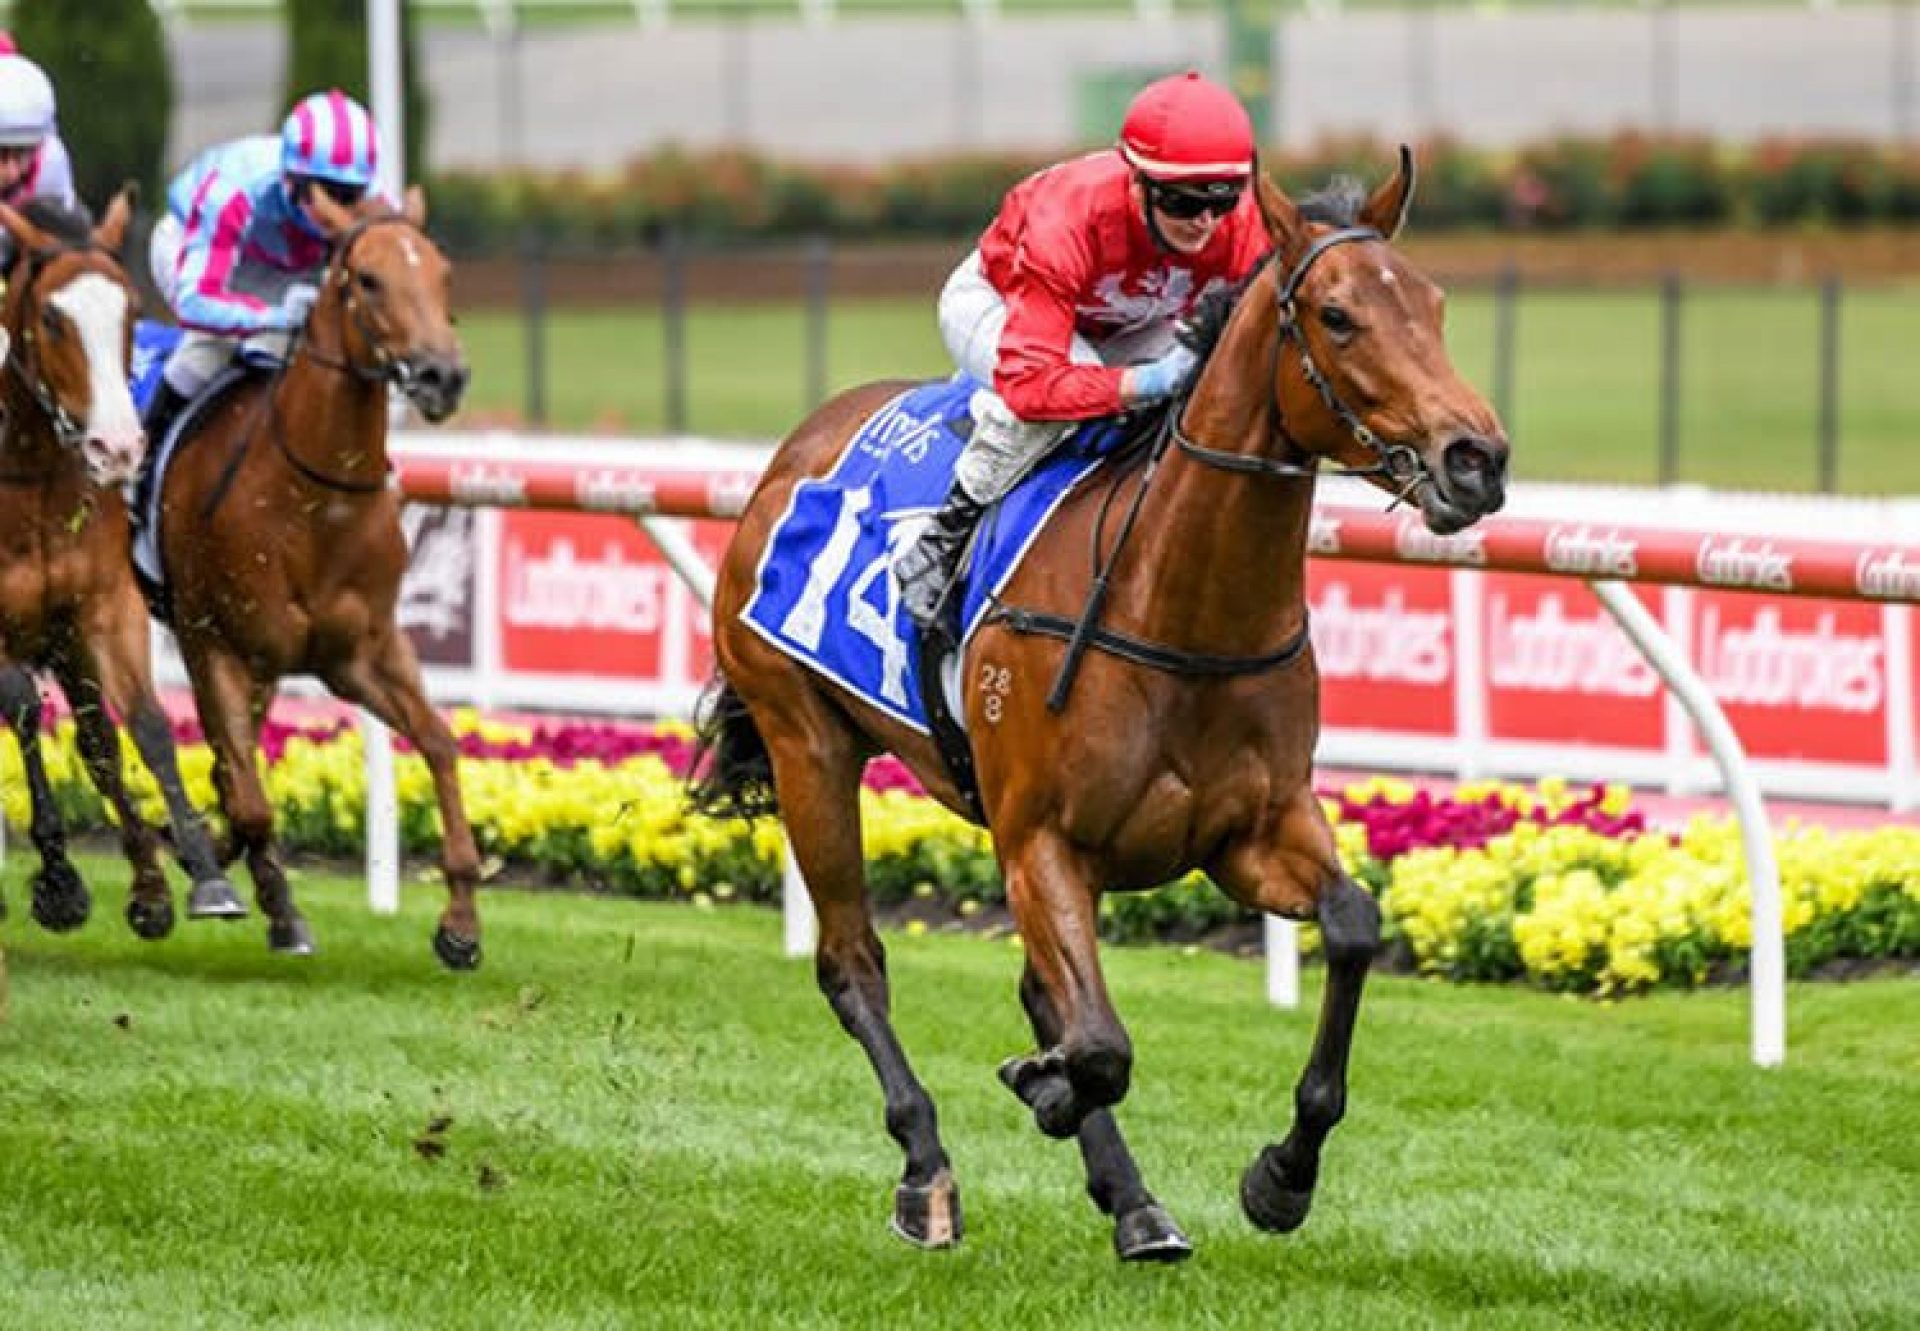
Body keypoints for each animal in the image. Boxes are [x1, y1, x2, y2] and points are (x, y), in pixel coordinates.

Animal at [0, 189, 243, 933]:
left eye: (131, 310)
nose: (117, 448)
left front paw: (194, 873)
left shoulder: (102, 608)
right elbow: (24, 707)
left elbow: (142, 728)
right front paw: (59, 880)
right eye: (51, 317)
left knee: (98, 741)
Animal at [146, 181, 476, 960]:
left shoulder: (360, 652)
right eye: (369, 279)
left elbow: (439, 742)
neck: (313, 497)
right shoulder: (213, 642)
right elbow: (250, 797)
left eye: (443, 274)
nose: (442, 375)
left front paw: (460, 919)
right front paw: (267, 900)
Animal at [695, 152, 1512, 1259]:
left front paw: (1281, 1174)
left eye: (1433, 304)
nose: (1477, 457)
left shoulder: (1250, 828)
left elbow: (1349, 924)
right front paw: (1040, 1091)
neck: (1179, 607)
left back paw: (1131, 1200)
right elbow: (1099, 1043)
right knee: (853, 962)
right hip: (806, 743)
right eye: (1338, 316)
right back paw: (928, 1167)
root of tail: (794, 447)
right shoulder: (1043, 838)